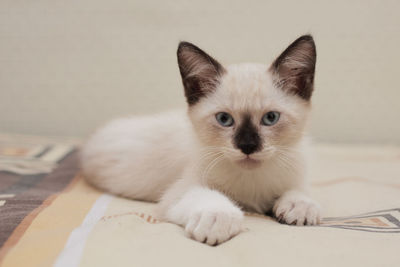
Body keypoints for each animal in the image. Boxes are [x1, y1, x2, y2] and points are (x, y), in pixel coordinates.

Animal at [79, 35, 320, 247]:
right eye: (224, 119)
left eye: (270, 118)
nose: (247, 146)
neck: (251, 180)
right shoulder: (178, 192)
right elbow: (205, 195)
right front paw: (217, 219)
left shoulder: (295, 174)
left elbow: (300, 191)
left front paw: (300, 207)